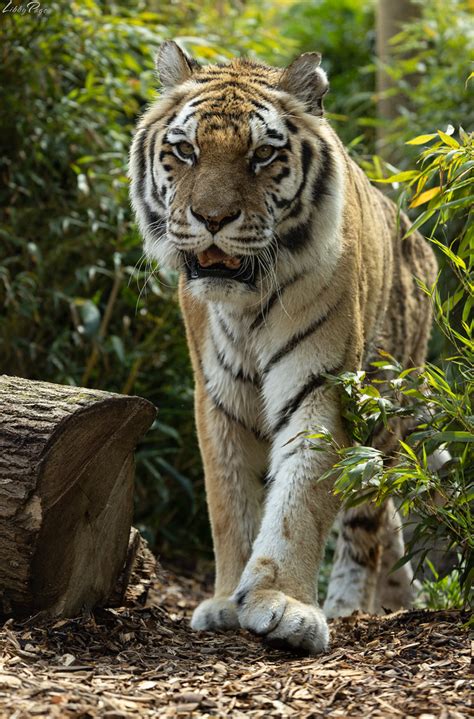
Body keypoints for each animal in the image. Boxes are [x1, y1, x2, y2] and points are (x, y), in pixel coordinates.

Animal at [129, 40, 436, 660]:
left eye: (262, 156)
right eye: (185, 150)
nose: (212, 219)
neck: (245, 307)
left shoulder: (323, 386)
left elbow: (301, 500)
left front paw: (284, 605)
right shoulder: (217, 395)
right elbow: (230, 503)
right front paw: (226, 601)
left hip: (386, 404)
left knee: (368, 516)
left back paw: (349, 605)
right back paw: (401, 597)